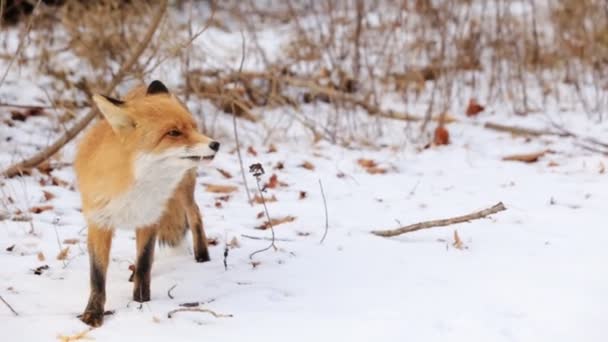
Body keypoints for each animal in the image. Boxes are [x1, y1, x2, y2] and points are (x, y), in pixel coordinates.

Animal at [74, 80, 220, 326]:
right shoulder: (99, 223)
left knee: (195, 213)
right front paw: (93, 313)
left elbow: (144, 263)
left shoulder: (149, 219)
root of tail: (144, 85)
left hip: (183, 189)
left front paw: (141, 301)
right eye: (174, 133)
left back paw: (202, 256)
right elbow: (97, 277)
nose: (215, 144)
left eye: (193, 127)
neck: (132, 184)